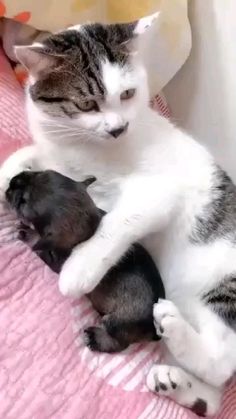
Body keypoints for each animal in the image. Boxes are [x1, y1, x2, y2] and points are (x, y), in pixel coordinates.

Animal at [5, 169, 164, 352]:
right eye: (40, 172)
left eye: (23, 202)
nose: (12, 182)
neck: (88, 230)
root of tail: (153, 331)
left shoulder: (56, 261)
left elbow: (40, 245)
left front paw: (30, 235)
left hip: (118, 322)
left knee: (118, 343)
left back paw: (96, 339)